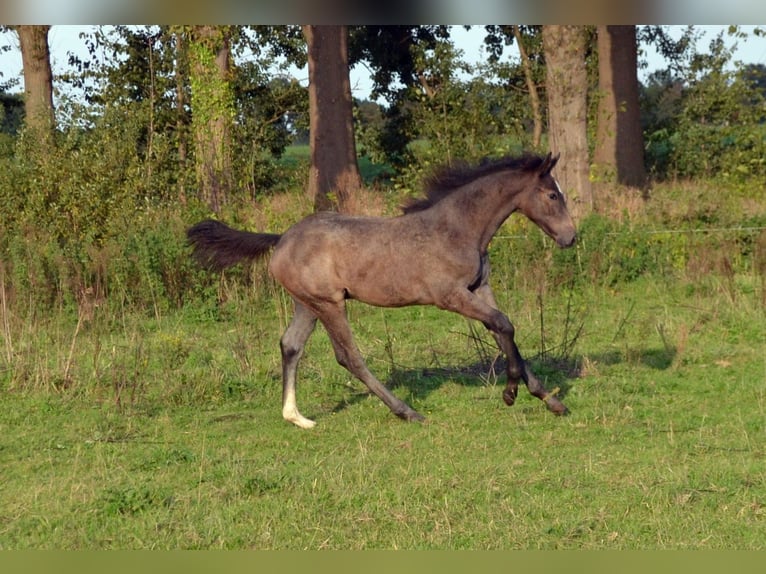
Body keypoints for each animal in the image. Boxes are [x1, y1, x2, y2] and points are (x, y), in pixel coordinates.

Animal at [187, 152, 576, 428]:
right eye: (552, 194)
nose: (571, 237)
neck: (458, 228)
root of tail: (281, 239)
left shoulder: (480, 289)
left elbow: (503, 331)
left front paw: (550, 400)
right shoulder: (451, 296)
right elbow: (504, 324)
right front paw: (511, 393)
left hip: (307, 303)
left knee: (291, 345)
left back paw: (296, 417)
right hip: (329, 304)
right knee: (348, 357)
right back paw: (407, 411)